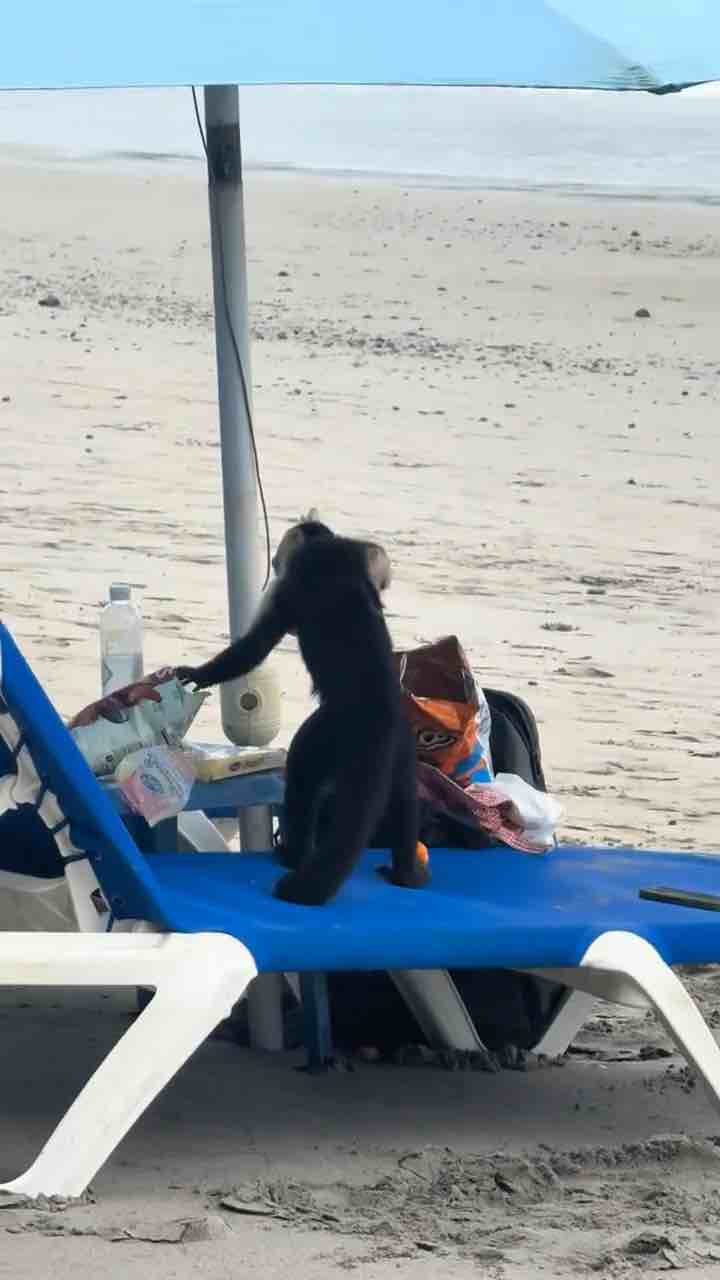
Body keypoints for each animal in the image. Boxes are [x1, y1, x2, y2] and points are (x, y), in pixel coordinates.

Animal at [175, 514, 429, 906]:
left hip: (333, 731)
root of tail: (382, 710)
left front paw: (198, 674)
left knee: (302, 776)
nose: (274, 562)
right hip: (403, 746)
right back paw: (406, 875)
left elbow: (255, 646)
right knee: (405, 801)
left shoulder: (293, 584)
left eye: (278, 559)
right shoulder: (350, 553)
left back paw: (292, 855)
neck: (327, 552)